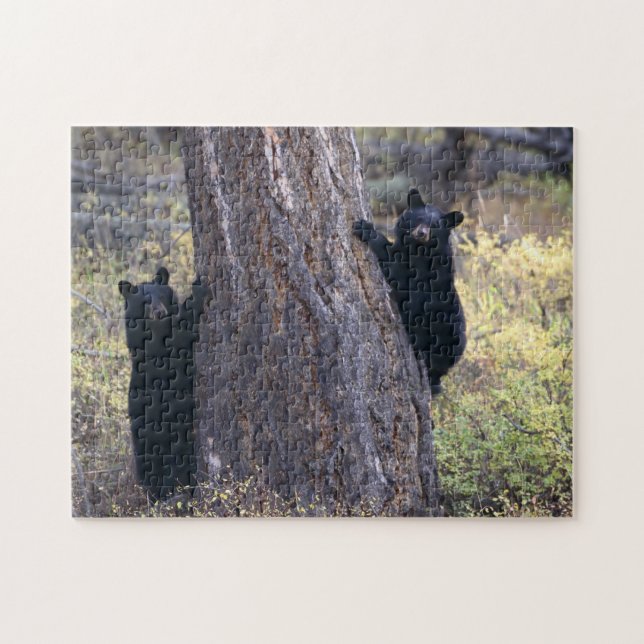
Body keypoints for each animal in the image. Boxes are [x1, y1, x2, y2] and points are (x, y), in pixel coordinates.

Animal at [118, 267, 208, 500]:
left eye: (161, 295)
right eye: (144, 301)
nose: (159, 312)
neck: (155, 329)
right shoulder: (156, 352)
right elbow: (181, 334)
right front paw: (198, 287)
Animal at [353, 189, 467, 395]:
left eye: (435, 226)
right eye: (419, 218)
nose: (421, 233)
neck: (418, 249)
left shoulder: (423, 272)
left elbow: (396, 268)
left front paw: (366, 229)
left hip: (445, 334)